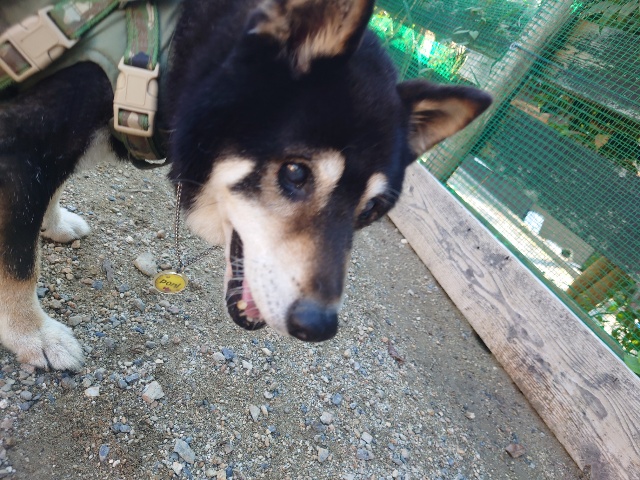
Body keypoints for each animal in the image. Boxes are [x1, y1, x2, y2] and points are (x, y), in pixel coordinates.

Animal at [0, 0, 491, 371]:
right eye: (296, 173)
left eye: (371, 211)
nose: (319, 326)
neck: (164, 54)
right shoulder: (21, 147)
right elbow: (19, 263)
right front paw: (34, 336)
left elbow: (48, 195)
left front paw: (53, 224)